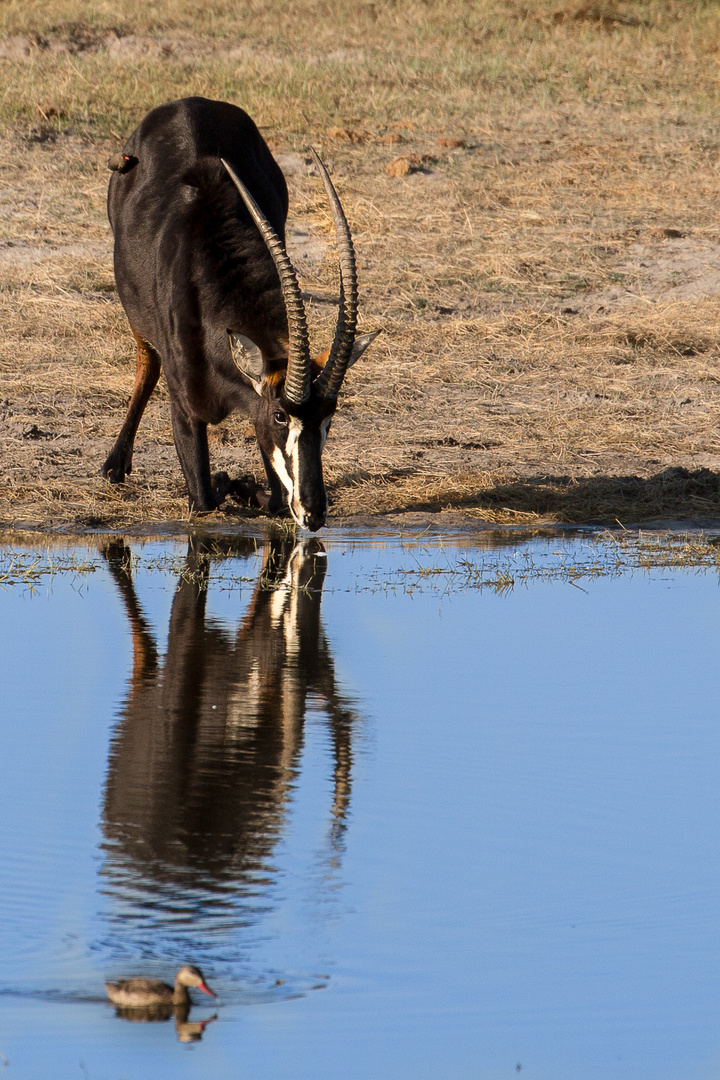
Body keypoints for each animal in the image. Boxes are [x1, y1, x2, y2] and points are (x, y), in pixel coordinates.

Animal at [104, 99, 382, 529]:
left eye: (329, 415)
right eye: (281, 416)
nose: (314, 512)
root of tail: (190, 103)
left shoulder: (255, 414)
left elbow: (275, 500)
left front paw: (242, 485)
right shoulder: (186, 411)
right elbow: (203, 499)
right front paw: (225, 481)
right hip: (136, 315)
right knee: (146, 360)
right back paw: (116, 465)